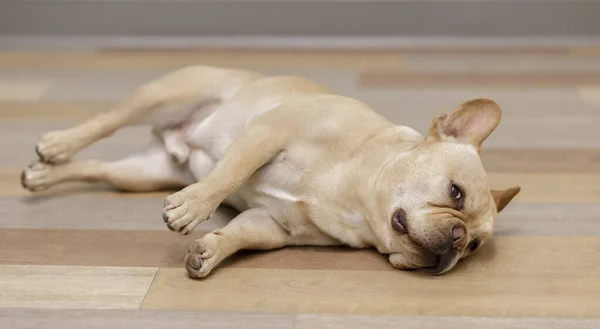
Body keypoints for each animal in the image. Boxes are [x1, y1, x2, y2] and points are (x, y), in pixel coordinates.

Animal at [21, 65, 520, 278]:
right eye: (455, 193)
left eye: (474, 247)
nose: (457, 240)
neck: (357, 194)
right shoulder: (267, 132)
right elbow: (230, 173)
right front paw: (194, 208)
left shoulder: (273, 225)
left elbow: (242, 234)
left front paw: (210, 251)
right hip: (167, 95)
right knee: (106, 122)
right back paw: (58, 144)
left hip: (145, 173)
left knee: (101, 169)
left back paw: (44, 174)